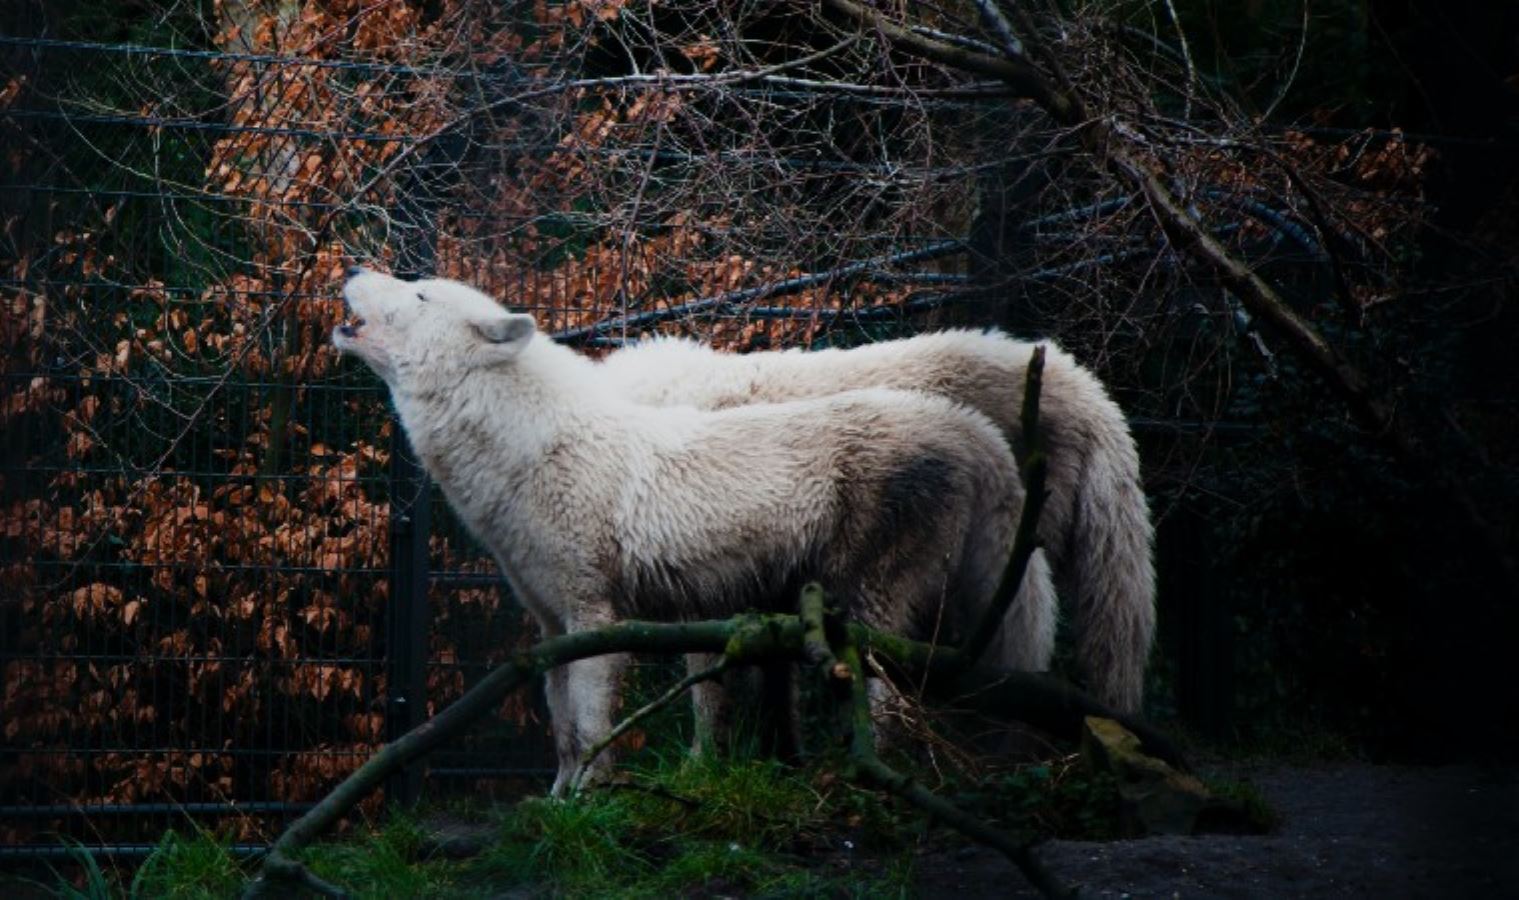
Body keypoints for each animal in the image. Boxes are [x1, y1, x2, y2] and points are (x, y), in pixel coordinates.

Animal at [329, 272, 1045, 796]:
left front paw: (589, 804)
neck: (533, 449)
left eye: (420, 293)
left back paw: (864, 780)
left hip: (865, 609)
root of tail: (970, 428)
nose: (353, 270)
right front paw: (555, 802)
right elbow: (563, 730)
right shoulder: (551, 626)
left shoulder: (596, 618)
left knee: (890, 701)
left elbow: (590, 727)